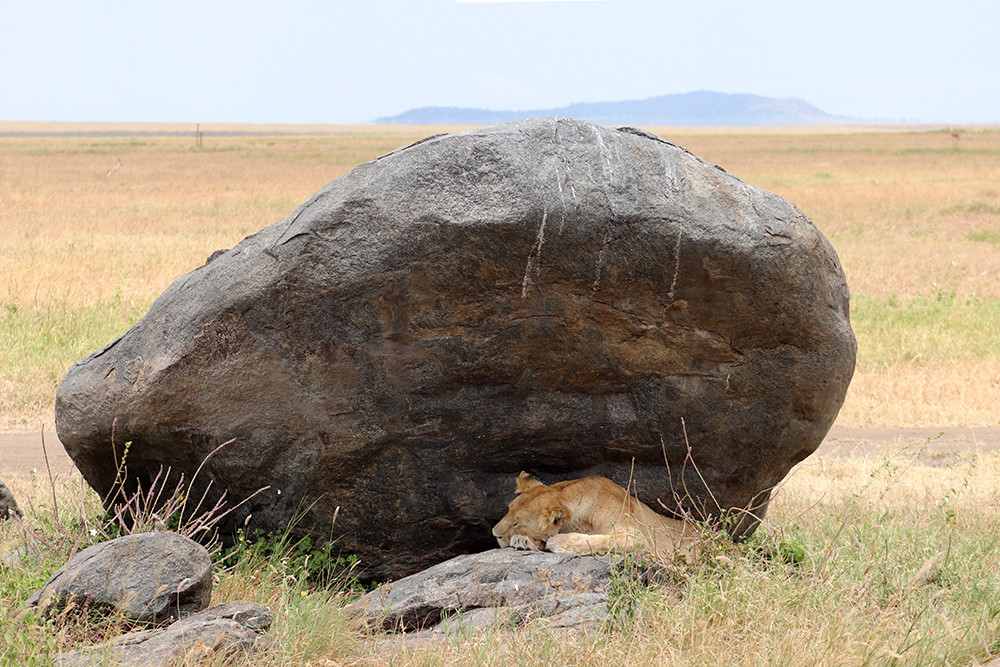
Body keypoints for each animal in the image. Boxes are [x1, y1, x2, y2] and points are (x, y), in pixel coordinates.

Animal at [492, 471, 694, 557]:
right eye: (508, 510)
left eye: (517, 523)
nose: (494, 534)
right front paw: (522, 540)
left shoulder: (638, 537)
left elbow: (600, 540)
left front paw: (560, 542)